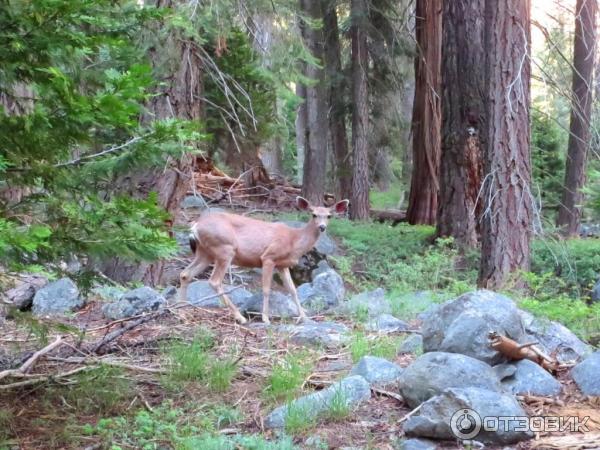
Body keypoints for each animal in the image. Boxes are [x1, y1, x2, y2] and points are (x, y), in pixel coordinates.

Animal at [176, 197, 350, 324]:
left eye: (329, 216)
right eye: (313, 214)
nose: (322, 227)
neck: (293, 240)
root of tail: (195, 226)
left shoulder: (282, 265)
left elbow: (293, 290)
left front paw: (305, 317)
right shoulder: (268, 257)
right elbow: (266, 289)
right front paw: (266, 318)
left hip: (205, 252)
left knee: (185, 274)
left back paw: (182, 311)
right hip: (224, 249)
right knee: (214, 281)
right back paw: (240, 317)